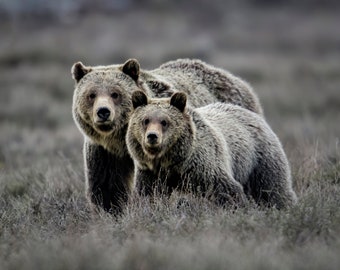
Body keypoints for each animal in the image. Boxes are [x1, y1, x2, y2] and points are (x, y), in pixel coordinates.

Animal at [71, 57, 262, 213]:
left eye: (115, 93)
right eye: (91, 94)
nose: (103, 112)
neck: (119, 140)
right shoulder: (105, 151)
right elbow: (108, 184)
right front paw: (111, 211)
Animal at [126, 91, 296, 209]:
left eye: (164, 121)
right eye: (145, 120)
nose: (152, 136)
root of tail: (255, 115)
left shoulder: (203, 165)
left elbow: (226, 189)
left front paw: (238, 207)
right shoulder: (151, 173)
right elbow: (148, 194)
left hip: (259, 159)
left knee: (272, 188)